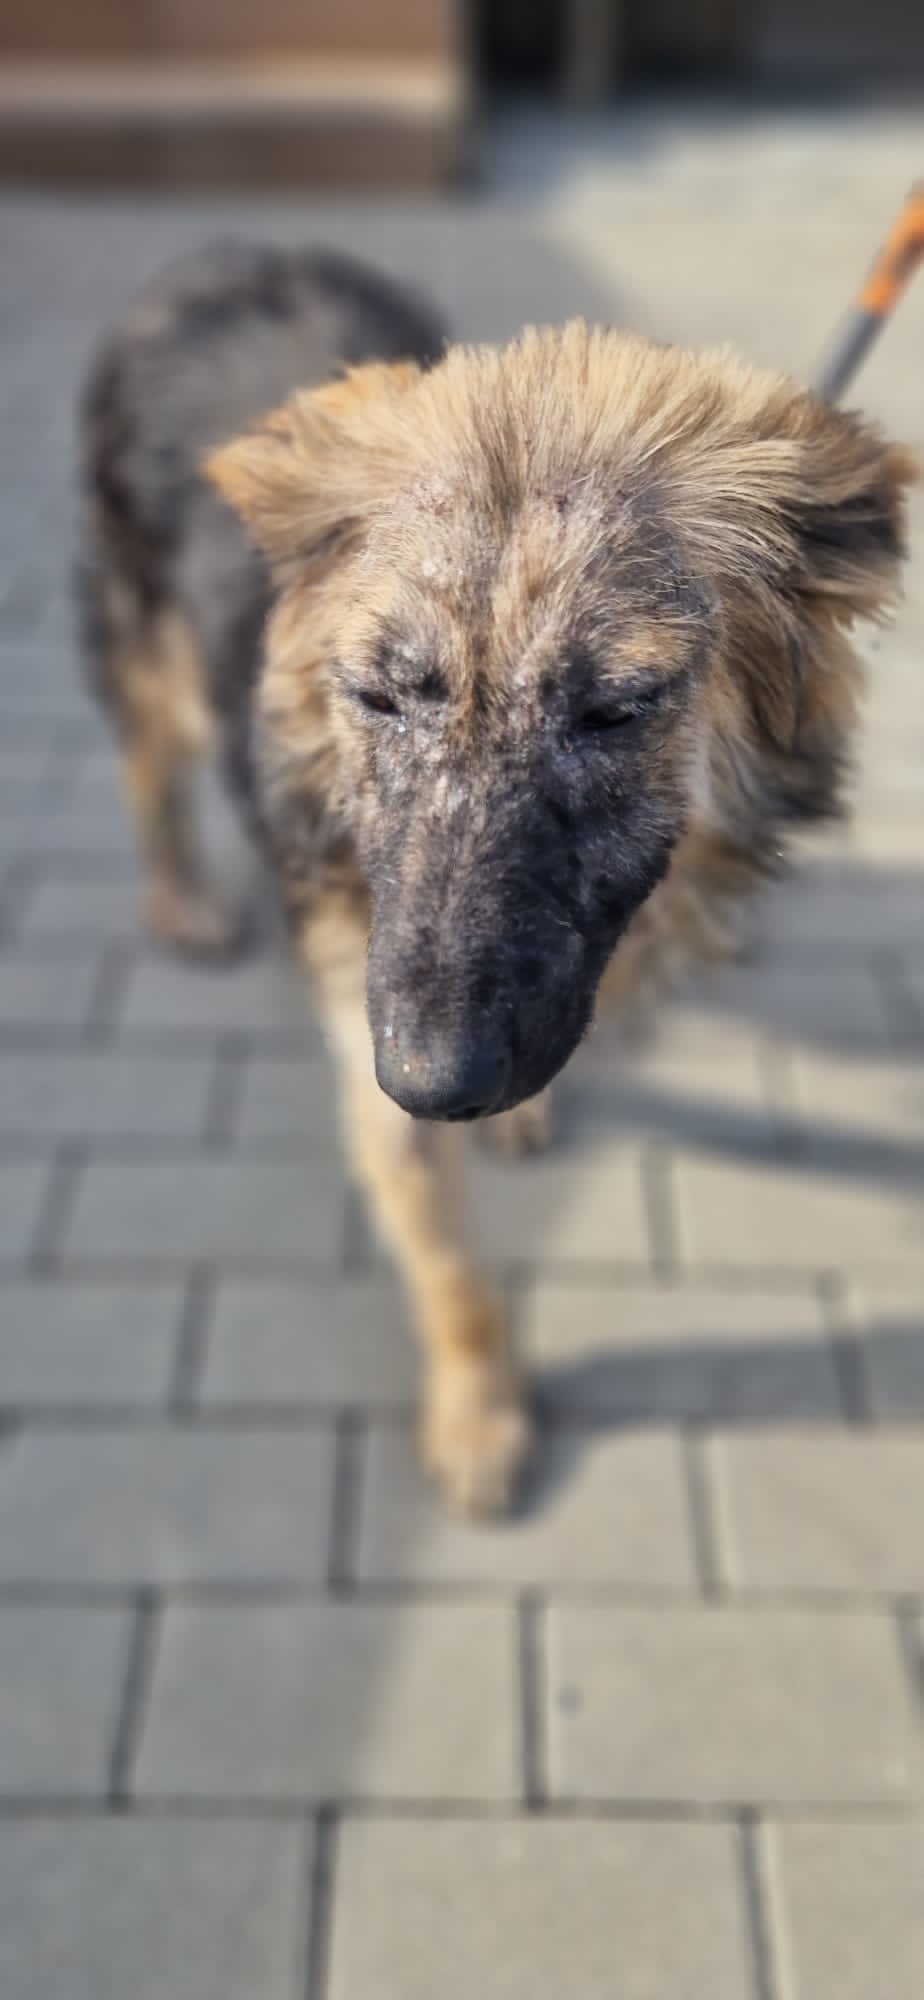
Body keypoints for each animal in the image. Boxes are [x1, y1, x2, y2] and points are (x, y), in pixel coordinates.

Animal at [79, 241, 914, 1516]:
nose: (432, 1082)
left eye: (616, 709)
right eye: (378, 696)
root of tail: (228, 253)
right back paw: (184, 899)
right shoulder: (371, 1044)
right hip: (155, 654)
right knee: (146, 767)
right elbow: (450, 1269)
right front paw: (481, 1413)